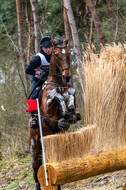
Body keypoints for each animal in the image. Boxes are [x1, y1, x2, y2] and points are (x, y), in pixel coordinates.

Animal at [28, 37, 80, 189]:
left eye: (68, 53)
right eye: (56, 55)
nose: (67, 76)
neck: (59, 83)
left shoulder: (69, 91)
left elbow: (71, 93)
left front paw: (69, 113)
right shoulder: (48, 107)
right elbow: (56, 96)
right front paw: (63, 108)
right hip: (34, 146)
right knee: (36, 172)